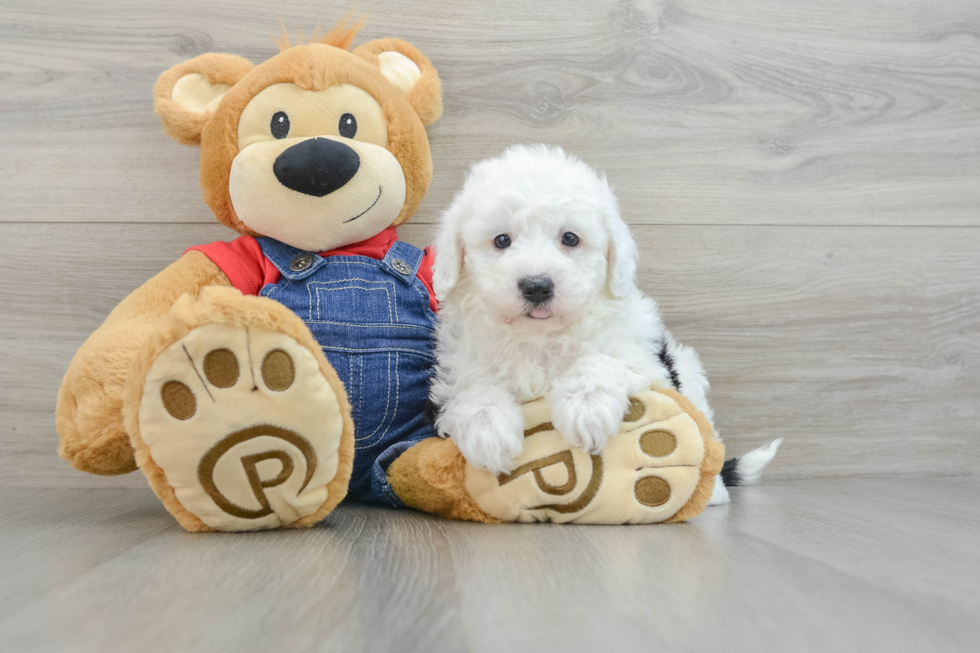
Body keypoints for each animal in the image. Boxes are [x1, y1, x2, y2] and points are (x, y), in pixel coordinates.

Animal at [432, 145, 776, 502]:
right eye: (501, 240)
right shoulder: (462, 365)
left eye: (570, 238)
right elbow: (474, 388)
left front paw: (587, 408)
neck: (541, 338)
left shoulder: (644, 362)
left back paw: (715, 493)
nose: (537, 286)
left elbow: (600, 360)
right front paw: (488, 432)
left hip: (688, 374)